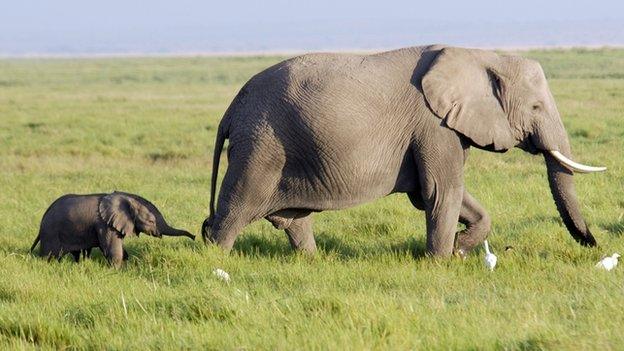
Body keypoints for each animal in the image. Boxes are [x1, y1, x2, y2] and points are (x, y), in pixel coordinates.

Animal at [29, 191, 194, 268]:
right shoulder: (105, 224)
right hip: (51, 233)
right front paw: (116, 271)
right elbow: (113, 249)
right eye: (151, 221)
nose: (194, 236)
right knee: (50, 256)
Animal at [200, 45, 604, 258]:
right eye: (536, 107)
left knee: (290, 219)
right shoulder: (433, 126)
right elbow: (441, 192)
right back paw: (214, 260)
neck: (478, 55)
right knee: (235, 208)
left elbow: (439, 195)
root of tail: (231, 109)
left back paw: (312, 262)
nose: (594, 243)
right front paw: (441, 261)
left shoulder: (443, 129)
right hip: (261, 146)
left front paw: (459, 248)